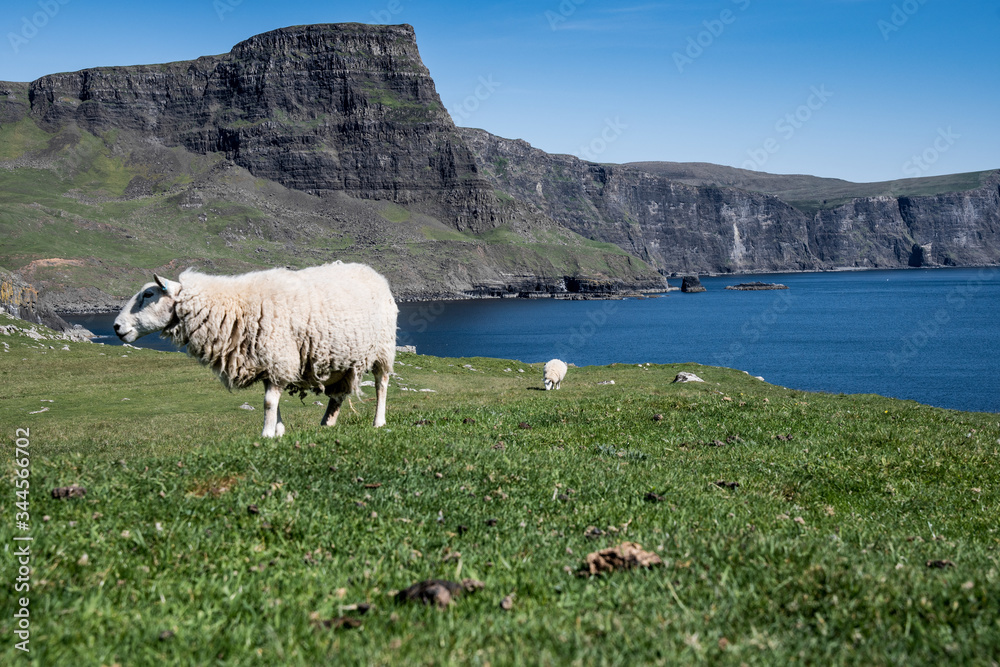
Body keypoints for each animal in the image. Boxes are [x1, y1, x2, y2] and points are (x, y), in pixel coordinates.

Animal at [113, 262, 398, 437]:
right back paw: (326, 424)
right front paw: (278, 432)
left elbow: (269, 402)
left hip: (383, 349)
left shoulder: (278, 357)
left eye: (148, 295)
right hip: (340, 359)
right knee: (337, 395)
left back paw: (379, 421)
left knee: (381, 385)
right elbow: (273, 401)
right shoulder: (266, 362)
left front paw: (266, 434)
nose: (116, 326)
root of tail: (373, 273)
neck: (230, 306)